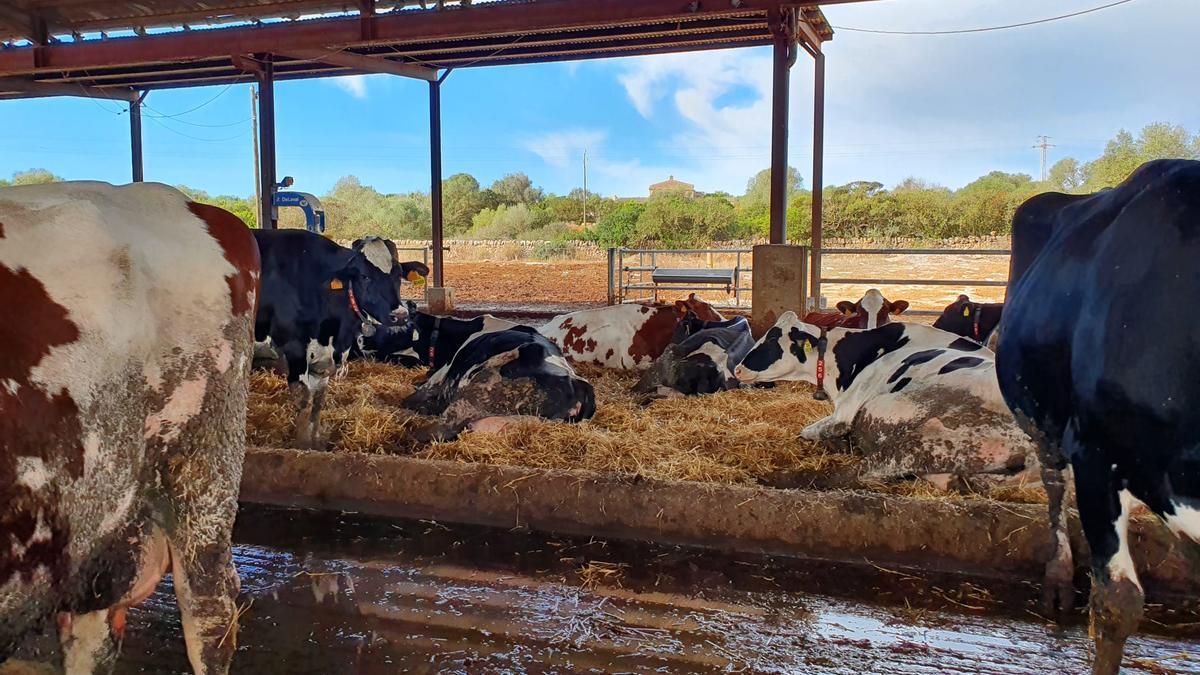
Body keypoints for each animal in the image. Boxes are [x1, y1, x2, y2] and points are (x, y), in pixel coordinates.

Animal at [252, 228, 408, 444]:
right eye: (365, 277)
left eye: (399, 275)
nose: (400, 315)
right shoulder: (295, 347)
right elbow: (303, 397)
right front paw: (302, 443)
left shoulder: (322, 360)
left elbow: (318, 399)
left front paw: (315, 440)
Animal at [734, 312, 1036, 485]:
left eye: (771, 339)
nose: (737, 369)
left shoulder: (845, 413)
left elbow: (806, 431)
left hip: (926, 439)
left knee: (850, 474)